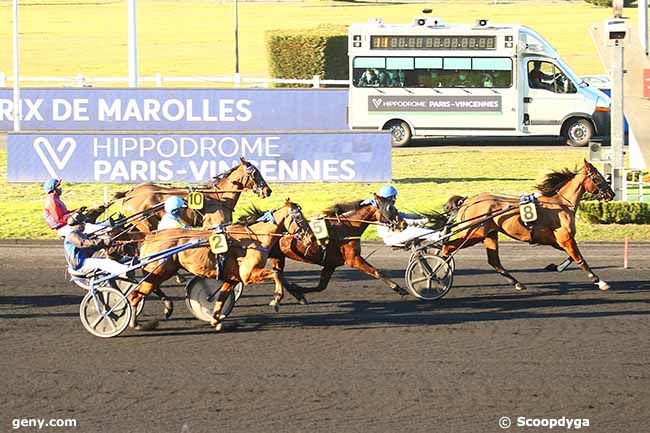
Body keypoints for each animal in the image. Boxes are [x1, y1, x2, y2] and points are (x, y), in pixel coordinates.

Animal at [127, 199, 314, 330]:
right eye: (299, 217)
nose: (311, 238)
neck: (254, 238)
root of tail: (149, 237)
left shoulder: (233, 278)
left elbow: (221, 298)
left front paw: (215, 320)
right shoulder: (248, 274)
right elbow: (276, 274)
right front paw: (276, 300)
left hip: (161, 272)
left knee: (145, 290)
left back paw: (163, 309)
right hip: (159, 271)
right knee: (135, 295)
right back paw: (135, 323)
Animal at [268, 194, 408, 302]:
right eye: (391, 208)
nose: (404, 224)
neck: (347, 228)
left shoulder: (330, 264)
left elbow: (321, 286)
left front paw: (298, 289)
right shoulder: (353, 259)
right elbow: (376, 272)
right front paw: (399, 288)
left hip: (278, 257)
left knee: (278, 273)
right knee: (277, 274)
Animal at [440, 160, 612, 292]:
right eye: (597, 177)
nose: (612, 194)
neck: (559, 204)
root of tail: (467, 201)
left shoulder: (556, 240)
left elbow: (571, 256)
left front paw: (556, 267)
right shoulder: (565, 238)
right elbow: (579, 258)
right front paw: (599, 281)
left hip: (489, 234)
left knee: (494, 261)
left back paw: (517, 283)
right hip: (474, 233)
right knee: (447, 247)